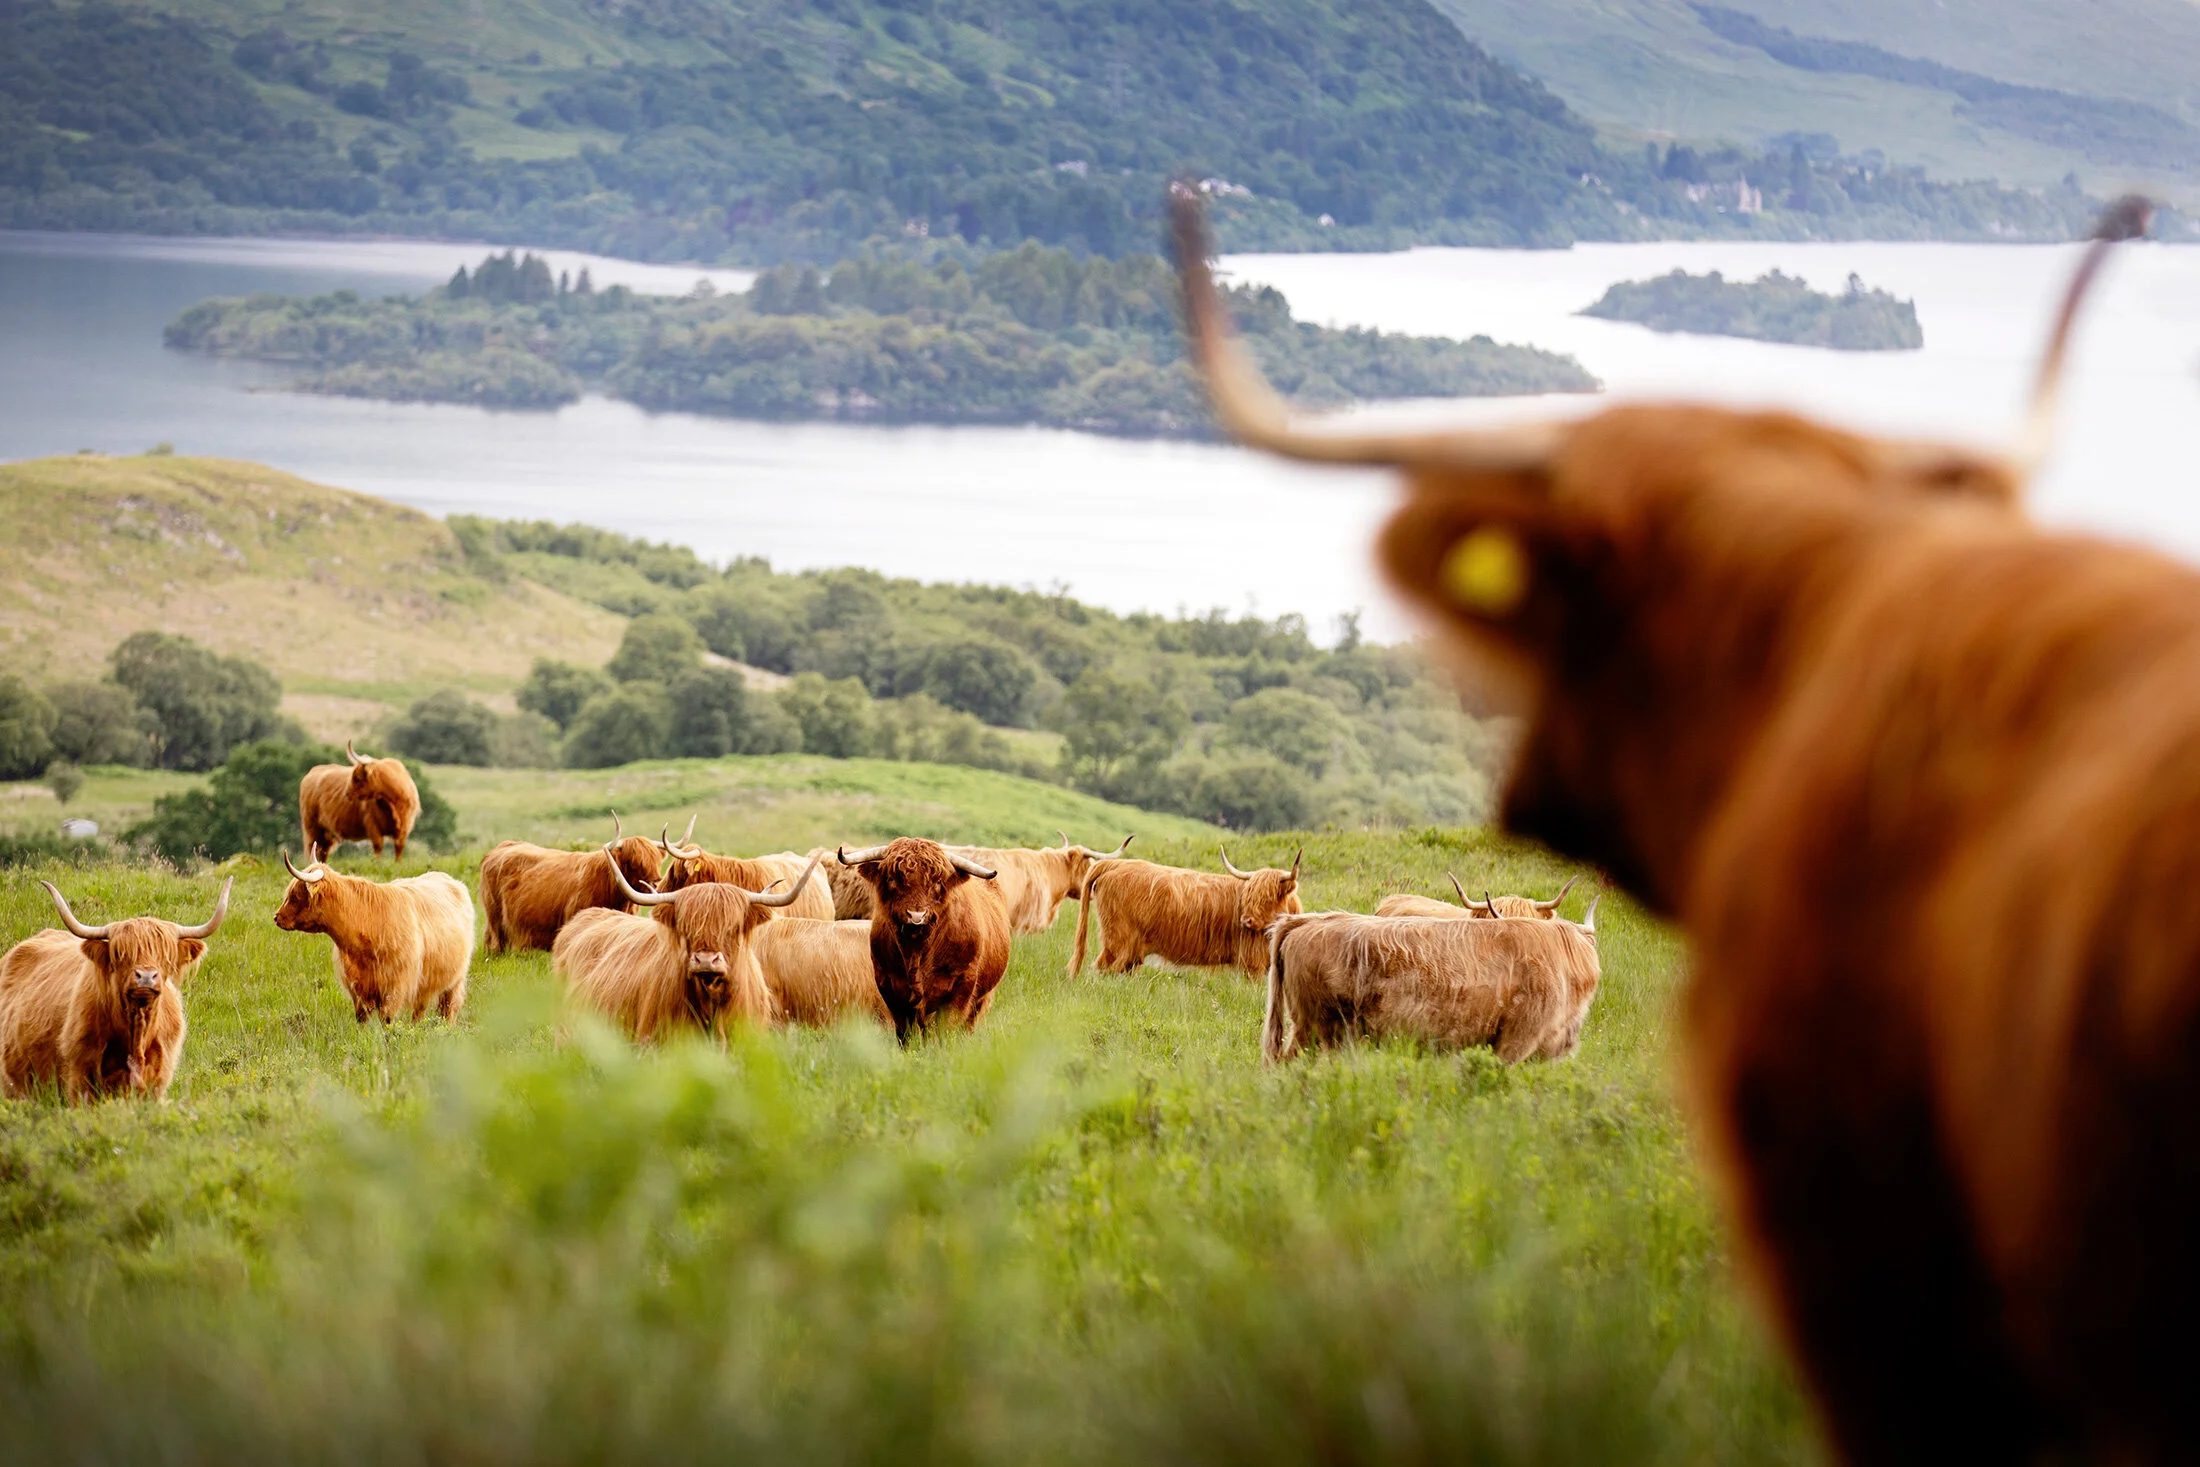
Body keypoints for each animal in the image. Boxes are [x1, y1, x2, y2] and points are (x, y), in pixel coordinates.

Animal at [0, 877, 230, 1102]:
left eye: (166, 955)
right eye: (120, 953)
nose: (146, 976)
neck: (136, 1035)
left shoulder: (157, 1081)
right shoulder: (78, 1075)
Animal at [274, 848, 473, 1022]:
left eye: (295, 895)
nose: (277, 917)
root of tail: (449, 879)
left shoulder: (394, 987)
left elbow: (387, 1022)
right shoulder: (357, 989)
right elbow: (361, 1020)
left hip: (455, 981)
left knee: (449, 1009)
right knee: (419, 1011)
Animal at [834, 838, 1010, 1042]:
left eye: (938, 881)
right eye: (892, 878)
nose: (916, 916)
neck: (916, 951)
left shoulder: (962, 985)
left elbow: (947, 1029)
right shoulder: (888, 984)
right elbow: (905, 1032)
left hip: (981, 997)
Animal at [1069, 845, 1303, 978]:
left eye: (1269, 897)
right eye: (1250, 896)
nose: (1246, 920)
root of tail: (1114, 864)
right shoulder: (1253, 963)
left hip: (1130, 952)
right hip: (1118, 941)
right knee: (1101, 968)